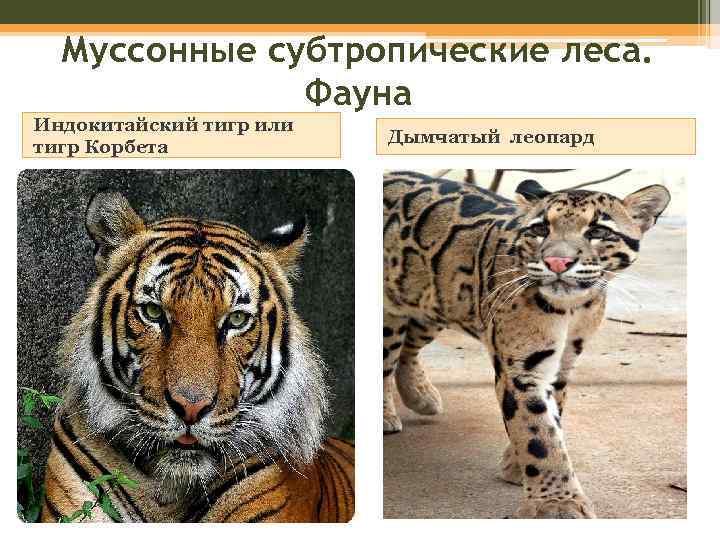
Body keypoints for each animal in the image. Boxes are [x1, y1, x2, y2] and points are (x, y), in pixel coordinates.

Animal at [382, 170, 670, 518]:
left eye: (598, 231)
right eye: (541, 229)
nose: (557, 261)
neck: (574, 308)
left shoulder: (562, 363)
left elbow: (552, 415)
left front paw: (518, 467)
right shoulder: (522, 367)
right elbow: (538, 434)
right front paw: (557, 504)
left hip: (436, 298)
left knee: (409, 346)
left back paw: (421, 394)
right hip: (394, 307)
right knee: (385, 356)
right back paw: (385, 415)